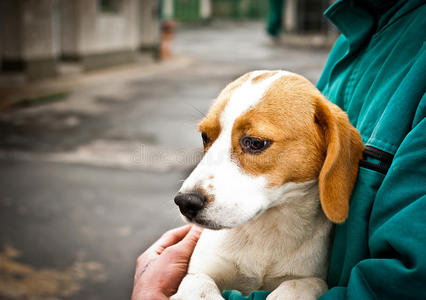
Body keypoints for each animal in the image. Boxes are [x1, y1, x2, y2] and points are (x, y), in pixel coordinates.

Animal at [170, 71, 362, 300]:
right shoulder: (199, 272)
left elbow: (303, 284)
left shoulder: (310, 277)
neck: (267, 232)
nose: (185, 202)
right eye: (205, 136)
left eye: (255, 142)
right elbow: (199, 287)